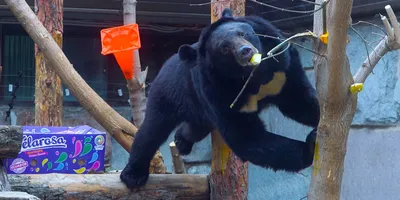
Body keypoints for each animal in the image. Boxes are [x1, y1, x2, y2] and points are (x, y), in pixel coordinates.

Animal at [120, 8, 320, 189]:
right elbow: (246, 137)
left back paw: (181, 141)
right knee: (151, 130)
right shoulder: (218, 92)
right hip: (169, 93)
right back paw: (133, 175)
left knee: (194, 129)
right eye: (224, 49)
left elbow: (299, 101)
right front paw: (310, 146)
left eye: (243, 33)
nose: (246, 51)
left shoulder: (282, 71)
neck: (252, 76)